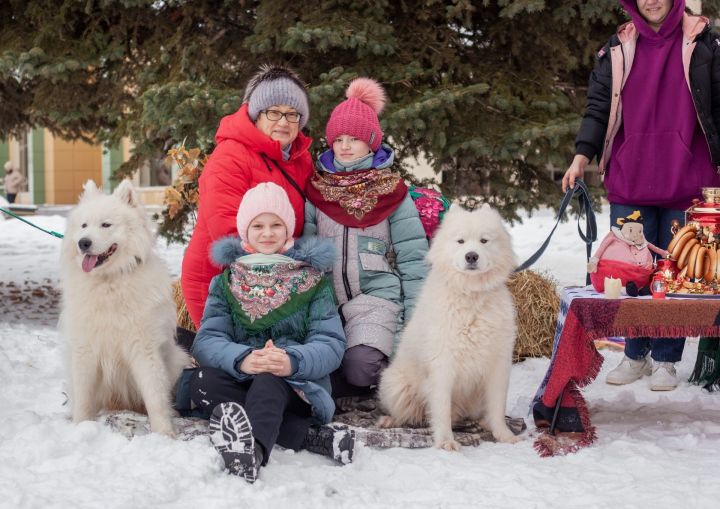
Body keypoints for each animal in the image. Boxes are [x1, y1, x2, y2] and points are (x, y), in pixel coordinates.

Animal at [59, 181, 188, 434]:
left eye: (106, 224)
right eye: (84, 225)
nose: (83, 243)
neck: (110, 281)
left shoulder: (145, 349)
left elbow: (155, 397)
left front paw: (164, 434)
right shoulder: (85, 350)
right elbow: (84, 396)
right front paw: (80, 427)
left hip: (178, 359)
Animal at [376, 202, 524, 448]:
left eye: (484, 240)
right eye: (460, 241)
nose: (471, 256)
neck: (471, 294)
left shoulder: (498, 365)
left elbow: (497, 407)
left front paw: (504, 435)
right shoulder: (442, 364)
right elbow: (442, 409)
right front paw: (446, 442)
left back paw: (481, 424)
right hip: (397, 385)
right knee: (410, 414)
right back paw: (389, 421)